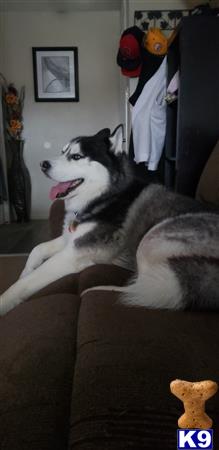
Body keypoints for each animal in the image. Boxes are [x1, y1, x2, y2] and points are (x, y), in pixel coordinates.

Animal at [0, 125, 219, 316]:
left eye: (76, 156)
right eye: (62, 152)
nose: (43, 164)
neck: (104, 197)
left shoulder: (72, 254)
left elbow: (24, 283)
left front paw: (5, 300)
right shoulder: (69, 239)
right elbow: (36, 249)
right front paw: (25, 271)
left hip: (150, 241)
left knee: (146, 288)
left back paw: (100, 287)